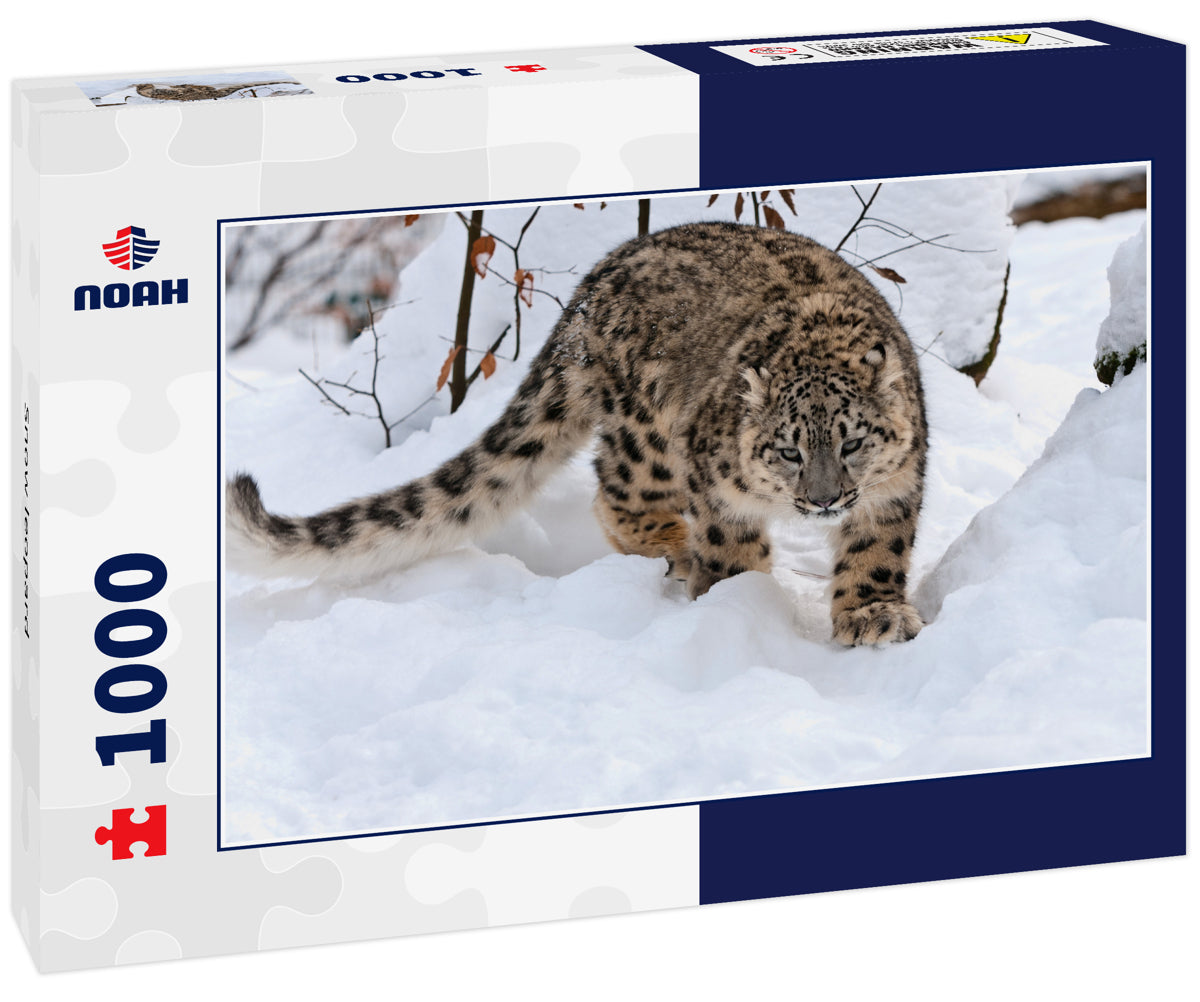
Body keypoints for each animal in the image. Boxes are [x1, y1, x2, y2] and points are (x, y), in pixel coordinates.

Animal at [227, 221, 928, 647]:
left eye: (852, 442)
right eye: (788, 449)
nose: (824, 500)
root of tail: (596, 282)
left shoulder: (895, 487)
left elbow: (876, 551)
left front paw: (873, 615)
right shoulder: (718, 488)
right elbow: (732, 546)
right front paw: (739, 599)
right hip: (648, 440)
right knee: (615, 495)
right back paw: (674, 549)